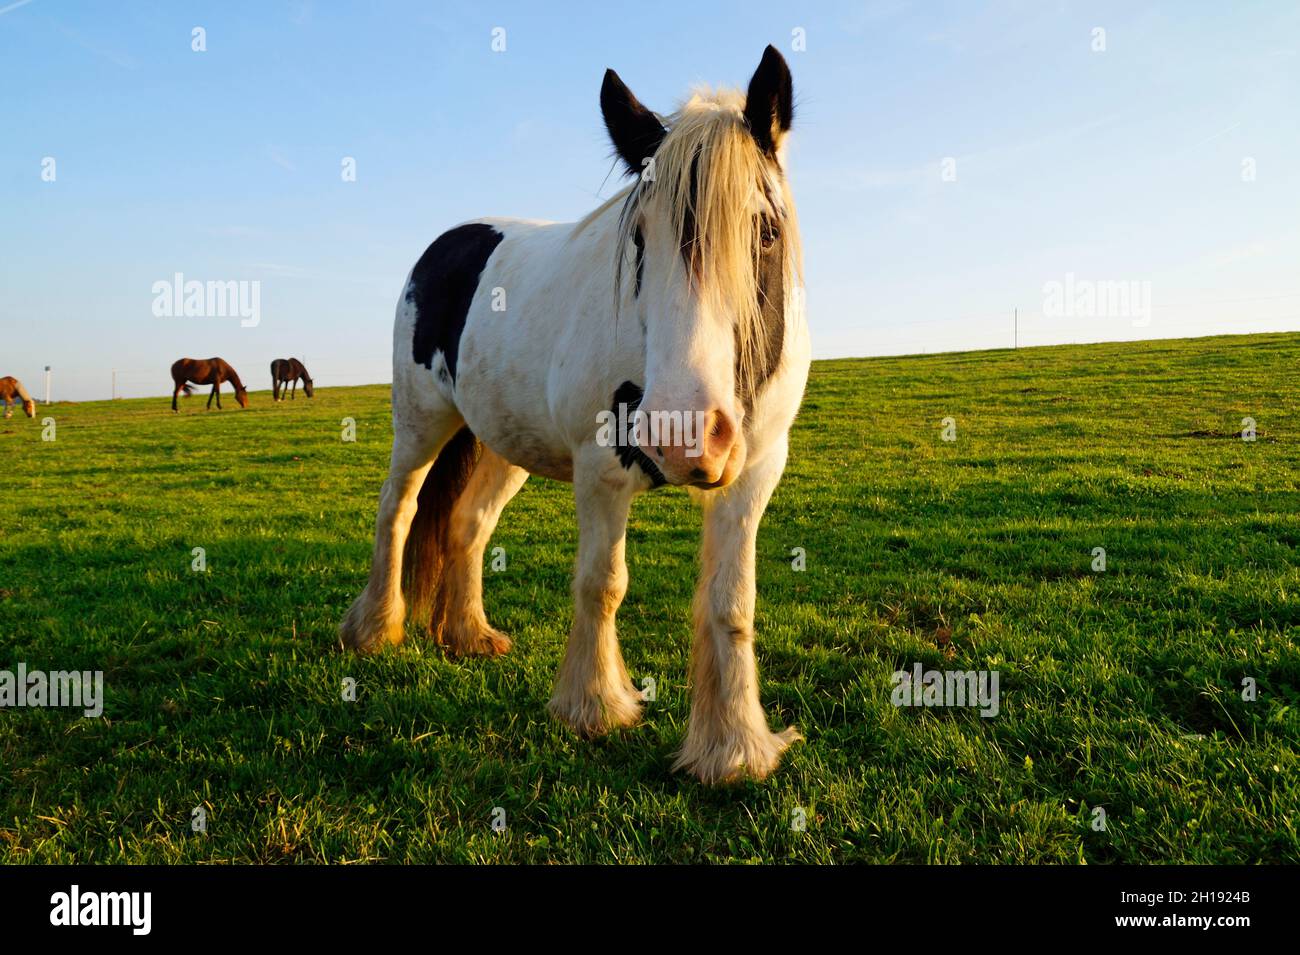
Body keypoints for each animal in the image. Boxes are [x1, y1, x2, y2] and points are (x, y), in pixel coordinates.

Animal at [339, 47, 809, 784]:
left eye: (766, 229)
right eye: (638, 238)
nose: (683, 435)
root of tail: (448, 241)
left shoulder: (756, 470)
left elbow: (732, 602)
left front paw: (732, 746)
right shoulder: (601, 469)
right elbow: (602, 583)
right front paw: (594, 705)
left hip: (501, 440)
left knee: (467, 525)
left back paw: (467, 634)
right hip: (421, 420)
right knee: (400, 508)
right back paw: (374, 628)